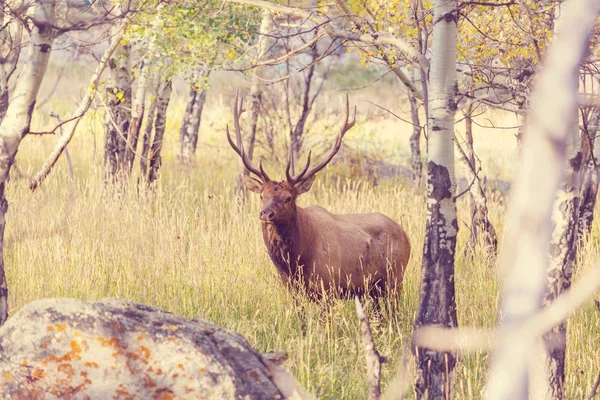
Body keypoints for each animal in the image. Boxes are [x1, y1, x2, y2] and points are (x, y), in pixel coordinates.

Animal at [227, 94, 410, 306]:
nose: (266, 214)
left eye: (288, 198)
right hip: (373, 291)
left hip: (395, 280)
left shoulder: (328, 287)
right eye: (261, 195)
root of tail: (406, 235)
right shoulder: (292, 291)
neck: (296, 263)